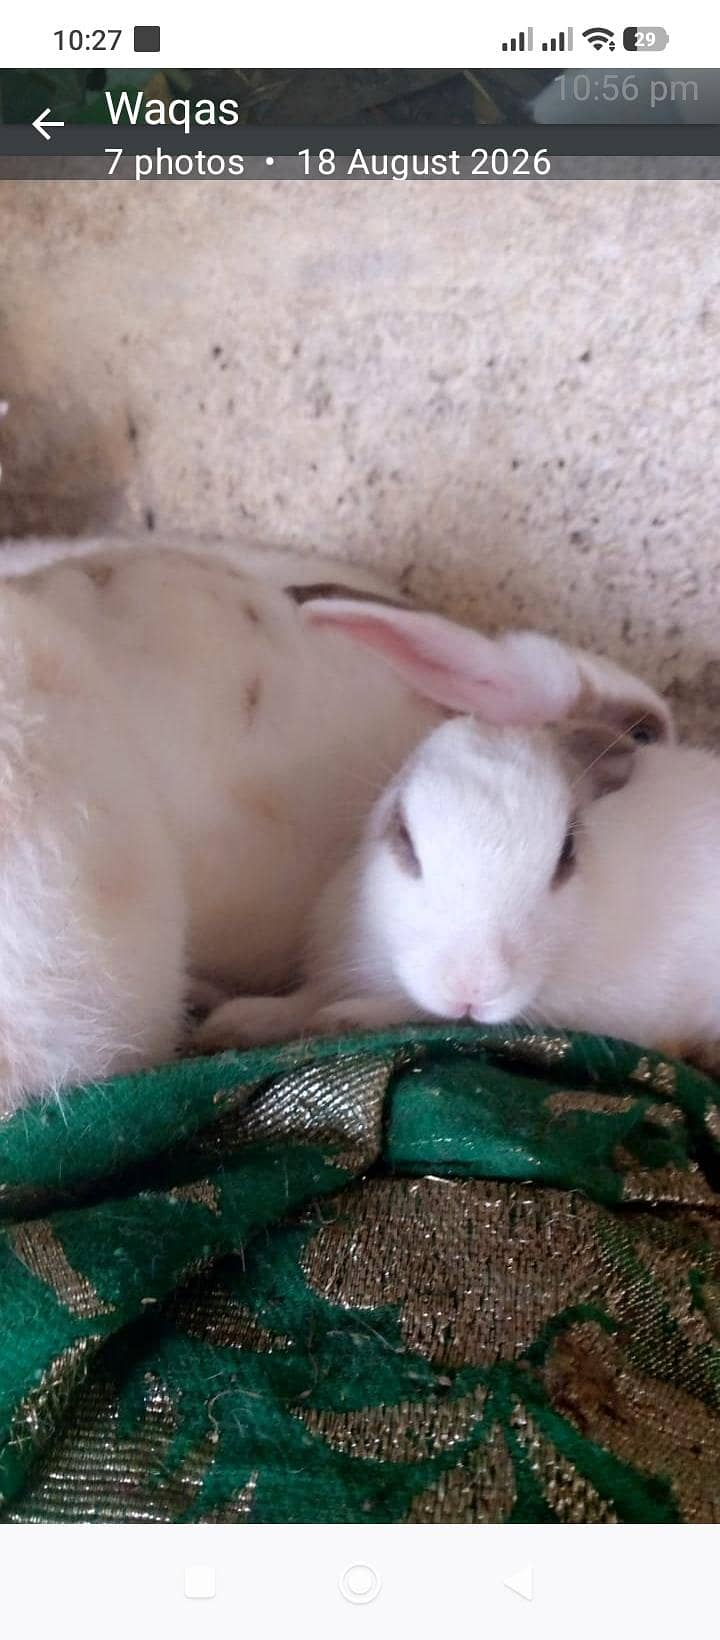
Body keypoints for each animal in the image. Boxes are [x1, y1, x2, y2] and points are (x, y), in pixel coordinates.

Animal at [198, 713, 720, 1063]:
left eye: (567, 852)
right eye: (403, 833)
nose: (474, 987)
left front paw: (339, 1021)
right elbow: (300, 1001)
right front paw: (232, 1023)